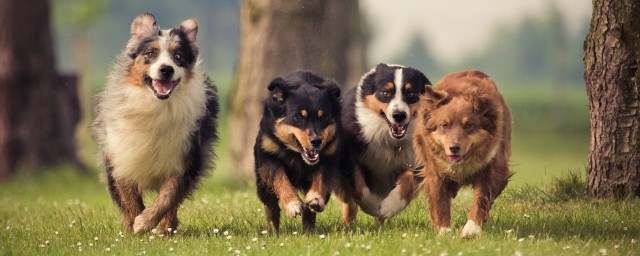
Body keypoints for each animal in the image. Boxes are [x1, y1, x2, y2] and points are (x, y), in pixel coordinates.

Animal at [91, 13, 219, 235]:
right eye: (150, 53)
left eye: (178, 57)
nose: (166, 69)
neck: (156, 105)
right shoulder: (121, 157)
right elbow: (130, 198)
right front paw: (134, 227)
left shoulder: (186, 158)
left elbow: (168, 197)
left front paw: (145, 222)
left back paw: (166, 230)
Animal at [254, 71, 342, 233]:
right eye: (299, 117)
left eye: (323, 117)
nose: (316, 141)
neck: (296, 154)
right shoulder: (268, 156)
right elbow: (280, 178)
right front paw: (292, 204)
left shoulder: (329, 158)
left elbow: (321, 177)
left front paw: (315, 198)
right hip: (262, 184)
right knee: (271, 206)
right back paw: (272, 231)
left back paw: (308, 231)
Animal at [336, 62, 430, 224]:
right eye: (386, 93)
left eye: (411, 94)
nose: (399, 115)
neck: (391, 140)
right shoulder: (350, 157)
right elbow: (358, 186)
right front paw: (373, 206)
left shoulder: (417, 161)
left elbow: (408, 183)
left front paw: (388, 207)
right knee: (348, 201)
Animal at [412, 70, 512, 238]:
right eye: (444, 125)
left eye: (469, 125)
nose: (454, 148)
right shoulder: (435, 171)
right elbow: (439, 201)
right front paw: (444, 231)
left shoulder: (492, 168)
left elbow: (481, 199)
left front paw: (471, 230)